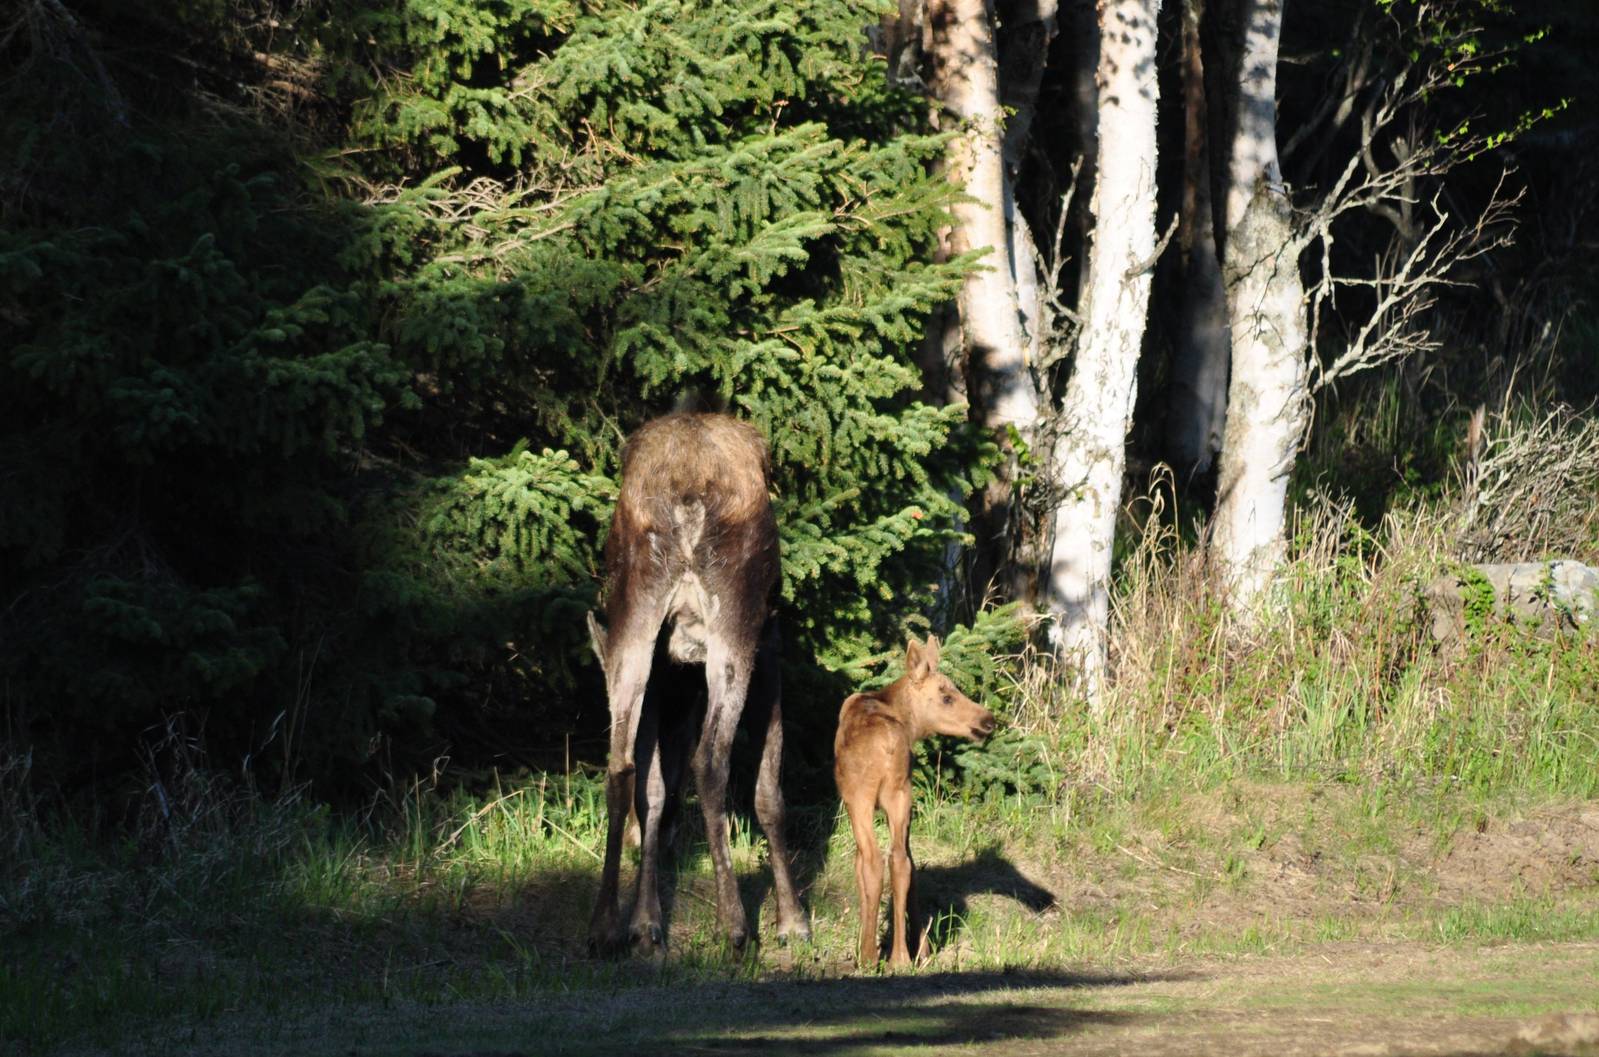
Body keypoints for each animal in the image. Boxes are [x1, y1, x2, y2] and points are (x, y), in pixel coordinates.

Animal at [585, 412, 809, 956]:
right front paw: (792, 920)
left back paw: (604, 925)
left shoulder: (667, 677)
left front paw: (645, 922)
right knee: (710, 758)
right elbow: (769, 795)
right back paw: (734, 923)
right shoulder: (769, 648)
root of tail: (685, 488)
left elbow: (653, 788)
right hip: (735, 617)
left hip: (635, 614)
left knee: (620, 767)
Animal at [834, 635, 996, 969]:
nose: (988, 720)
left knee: (873, 859)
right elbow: (910, 862)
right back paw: (900, 958)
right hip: (900, 793)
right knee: (899, 858)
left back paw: (869, 956)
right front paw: (921, 949)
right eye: (947, 697)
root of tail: (887, 742)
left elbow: (860, 865)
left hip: (860, 796)